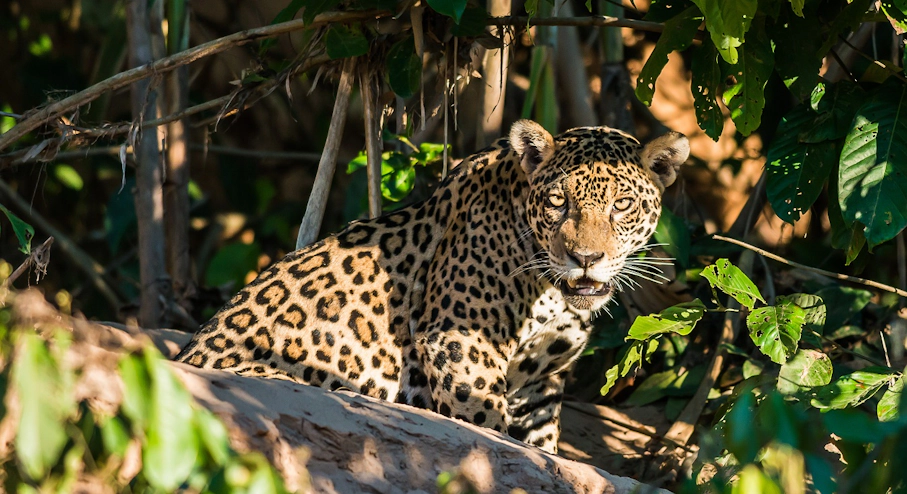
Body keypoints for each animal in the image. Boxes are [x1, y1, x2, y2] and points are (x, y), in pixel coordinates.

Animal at [176, 119, 690, 454]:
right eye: (557, 202)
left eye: (622, 205)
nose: (585, 259)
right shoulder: (460, 342)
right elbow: (485, 426)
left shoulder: (541, 382)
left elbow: (542, 450)